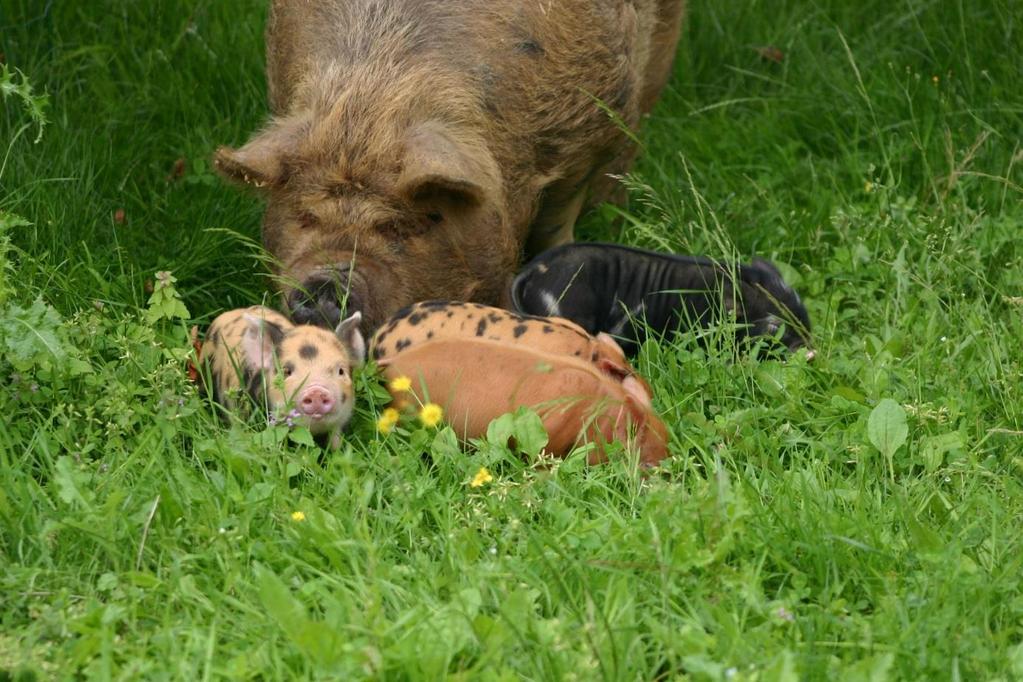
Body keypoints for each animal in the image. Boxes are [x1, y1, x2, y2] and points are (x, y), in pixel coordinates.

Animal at [213, 0, 687, 331]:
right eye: (304, 216)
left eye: (406, 225)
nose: (328, 281)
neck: (370, 108)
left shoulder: (586, 134)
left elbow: (556, 226)